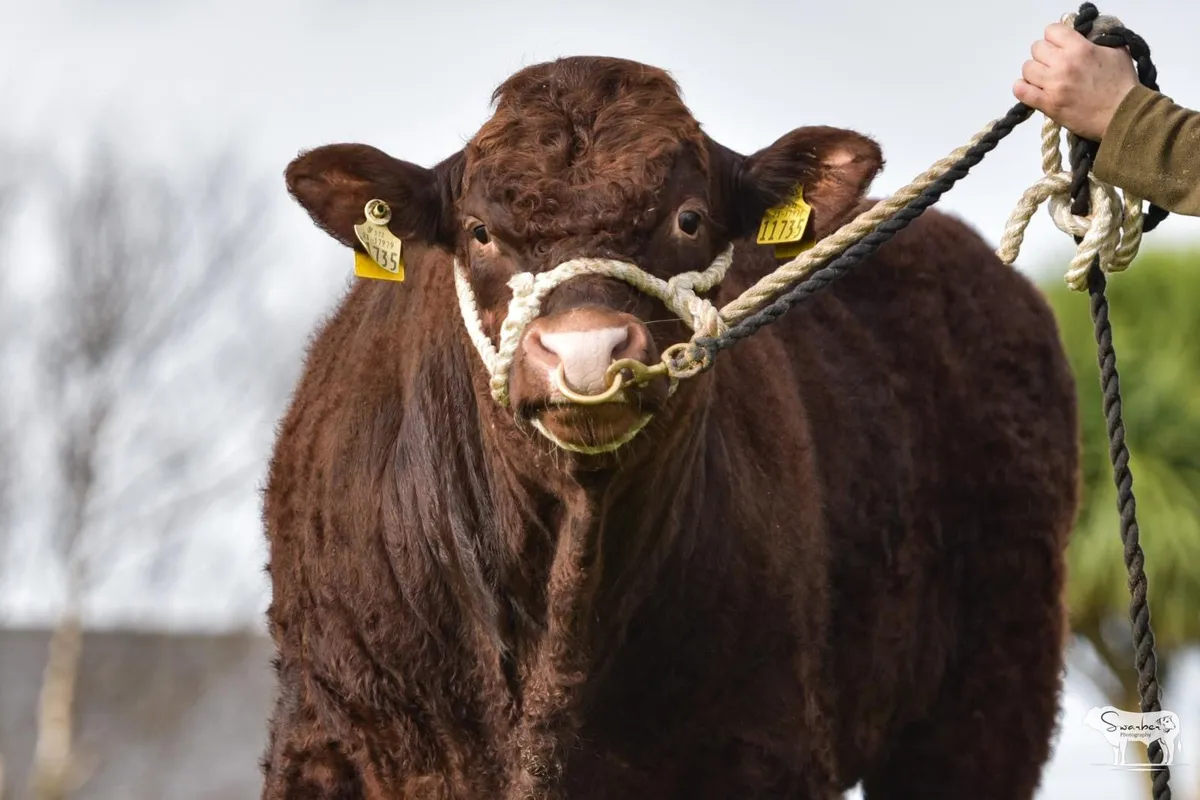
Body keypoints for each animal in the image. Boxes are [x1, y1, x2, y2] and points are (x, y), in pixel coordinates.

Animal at [261, 56, 1080, 799]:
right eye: (480, 230)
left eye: (688, 218)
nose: (585, 350)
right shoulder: (322, 745)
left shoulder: (765, 746)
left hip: (990, 691)